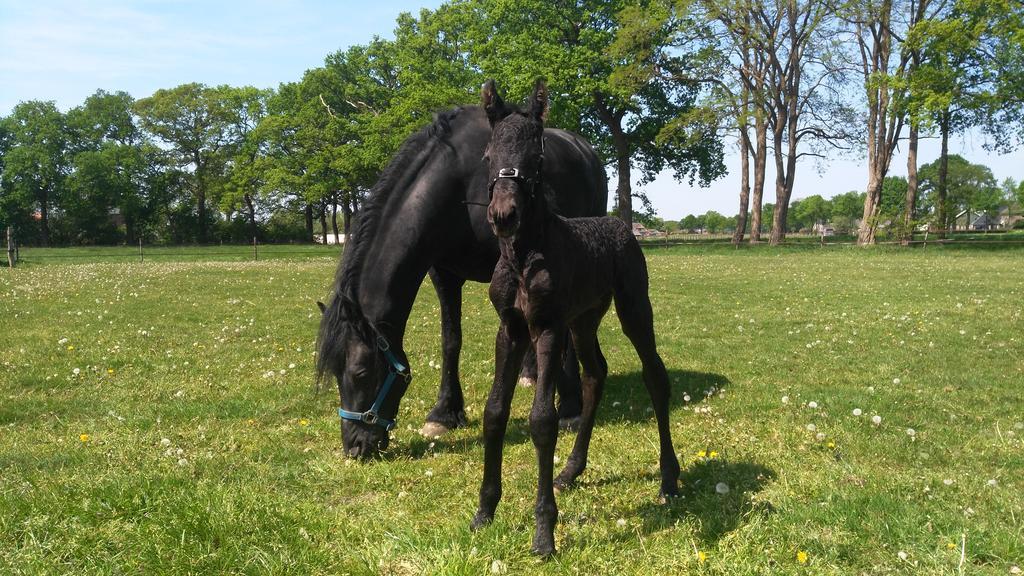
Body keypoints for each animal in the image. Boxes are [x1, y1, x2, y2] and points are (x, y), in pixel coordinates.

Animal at [317, 99, 606, 457]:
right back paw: (530, 373)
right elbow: (451, 340)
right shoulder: (444, 273)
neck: (458, 186)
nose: (355, 447)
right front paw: (444, 413)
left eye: (360, 372)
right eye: (334, 372)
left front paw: (569, 406)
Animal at [468, 78, 679, 553]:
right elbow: (495, 412)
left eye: (537, 157)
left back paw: (669, 478)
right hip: (583, 320)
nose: (503, 215)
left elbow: (542, 421)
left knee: (655, 376)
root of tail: (618, 224)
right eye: (489, 155)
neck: (525, 257)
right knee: (595, 373)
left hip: (633, 307)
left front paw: (544, 533)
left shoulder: (546, 328)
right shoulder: (510, 329)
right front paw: (484, 511)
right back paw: (571, 470)